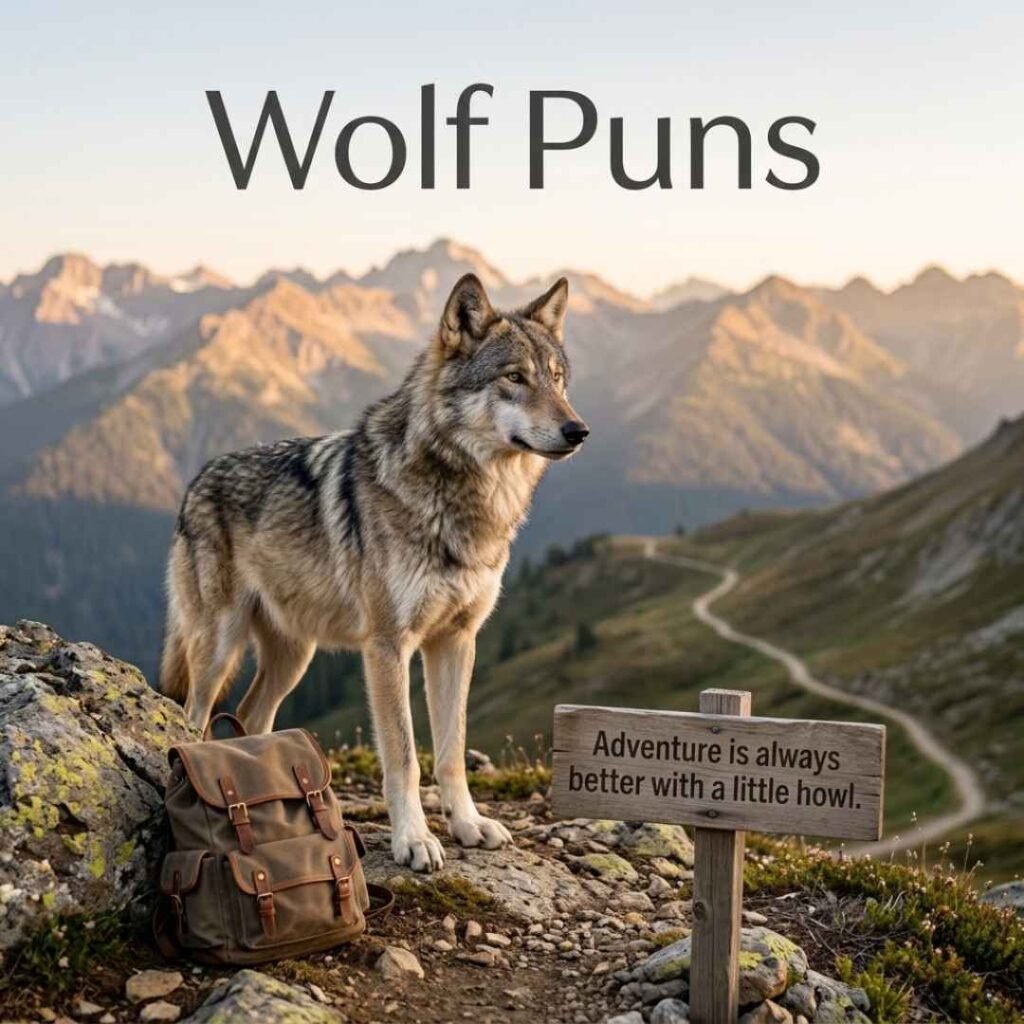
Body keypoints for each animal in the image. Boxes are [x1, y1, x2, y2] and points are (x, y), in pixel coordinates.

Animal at [160, 273, 588, 871]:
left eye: (557, 379)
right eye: (514, 378)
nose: (578, 430)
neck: (464, 500)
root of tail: (197, 479)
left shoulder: (457, 641)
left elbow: (452, 750)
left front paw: (469, 825)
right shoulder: (388, 646)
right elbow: (404, 756)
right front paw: (414, 840)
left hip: (294, 658)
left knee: (251, 716)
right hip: (218, 648)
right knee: (197, 716)